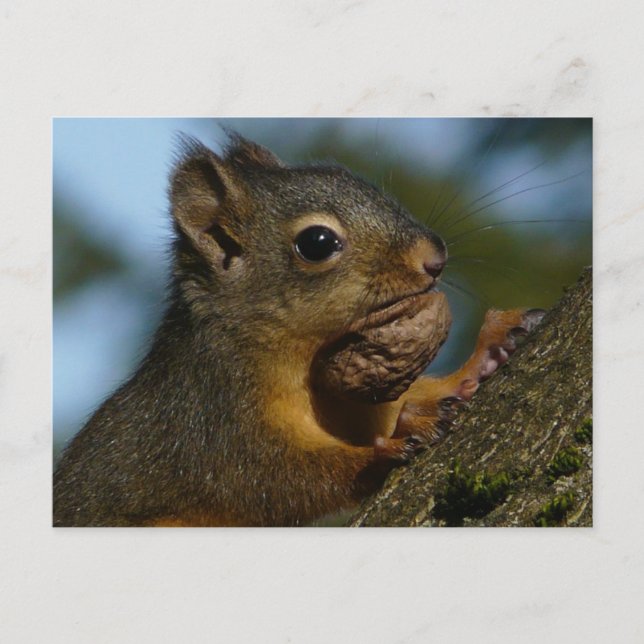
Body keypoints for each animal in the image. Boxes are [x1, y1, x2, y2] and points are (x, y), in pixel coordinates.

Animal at [53, 133, 544, 527]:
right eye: (317, 243)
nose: (435, 255)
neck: (307, 356)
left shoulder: (354, 400)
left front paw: (483, 357)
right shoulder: (213, 418)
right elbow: (276, 478)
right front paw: (388, 446)